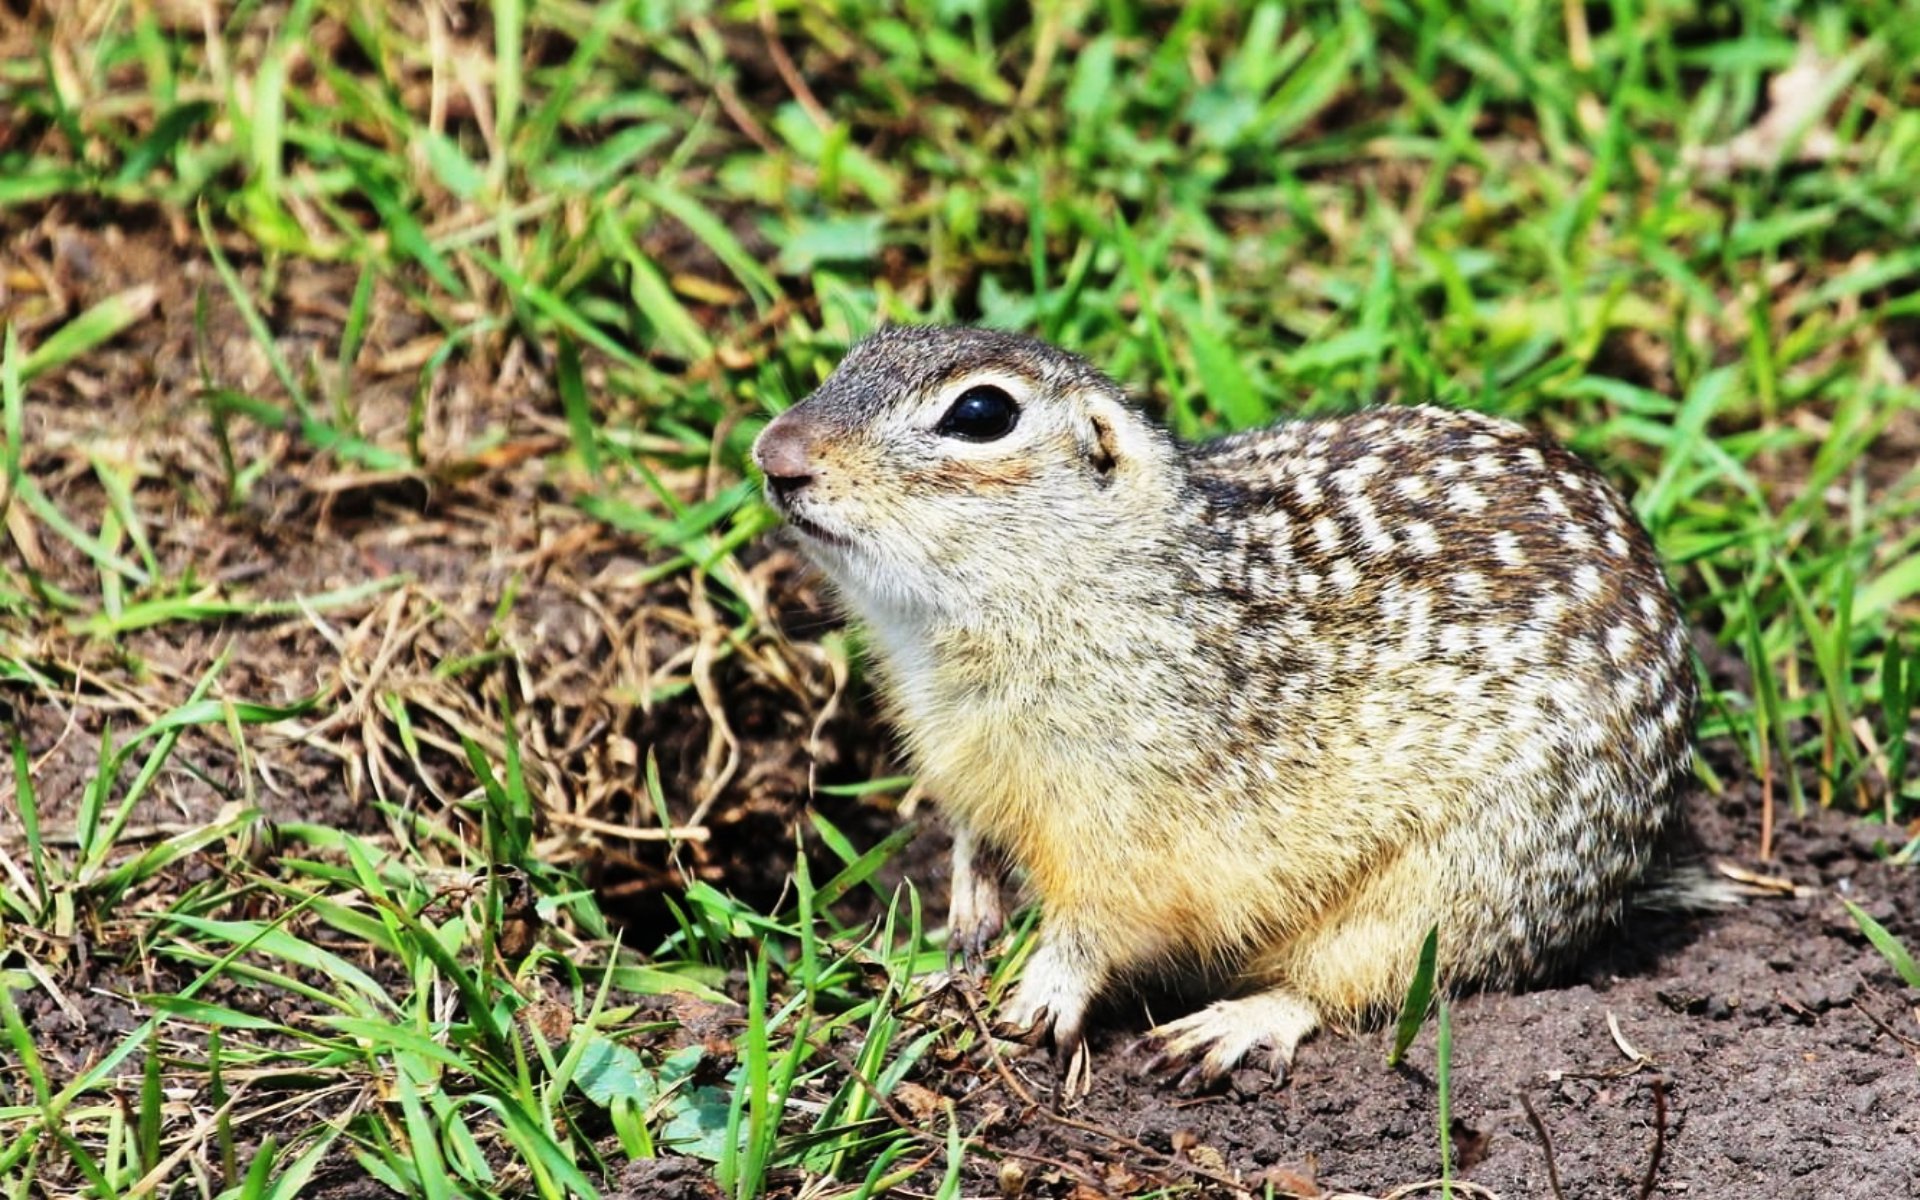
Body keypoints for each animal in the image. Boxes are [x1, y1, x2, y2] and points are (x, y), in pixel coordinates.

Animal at [748, 322, 1697, 1090]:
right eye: (856, 354)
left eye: (981, 413)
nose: (772, 452)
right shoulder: (965, 763)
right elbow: (973, 834)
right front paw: (964, 922)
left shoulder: (1129, 815)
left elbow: (1101, 920)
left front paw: (1037, 997)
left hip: (1459, 893)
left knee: (1359, 984)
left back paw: (1234, 1025)